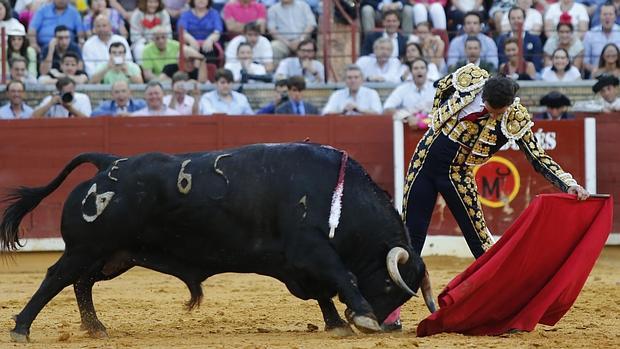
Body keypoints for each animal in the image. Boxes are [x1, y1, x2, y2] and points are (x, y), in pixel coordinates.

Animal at [0, 141, 436, 340]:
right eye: (388, 286)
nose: (387, 327)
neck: (337, 197)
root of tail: (107, 164)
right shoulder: (310, 249)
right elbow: (340, 276)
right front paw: (359, 316)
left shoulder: (298, 263)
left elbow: (323, 291)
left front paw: (336, 323)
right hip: (88, 248)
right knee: (56, 277)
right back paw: (22, 328)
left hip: (114, 256)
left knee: (81, 282)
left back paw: (95, 327)